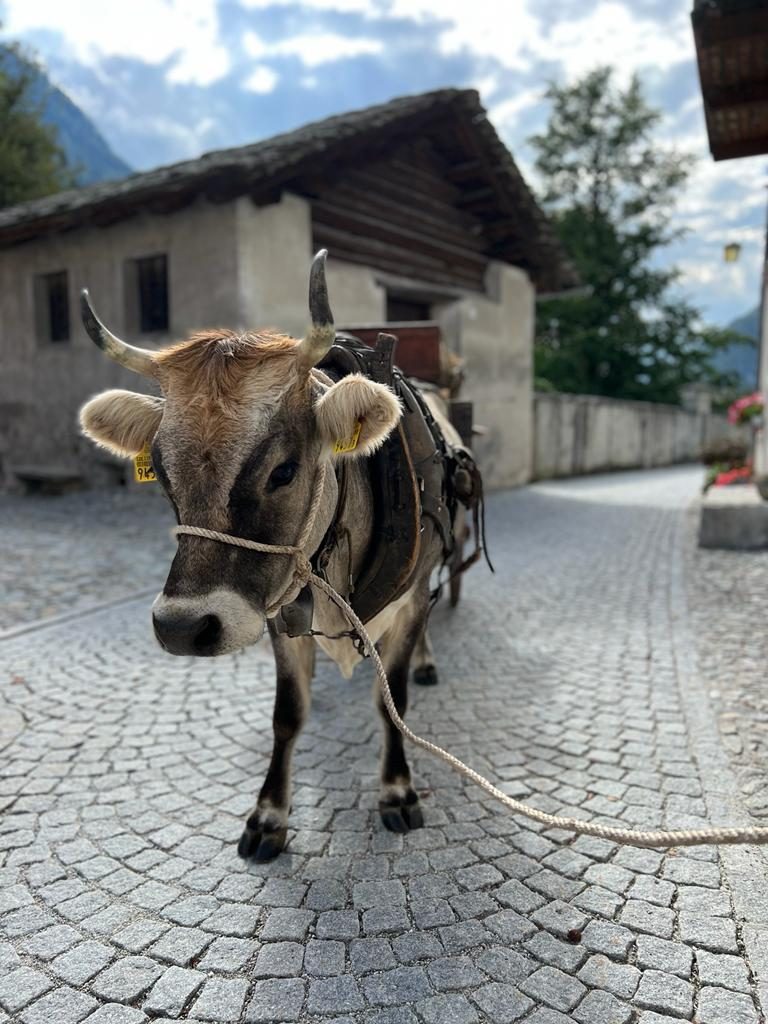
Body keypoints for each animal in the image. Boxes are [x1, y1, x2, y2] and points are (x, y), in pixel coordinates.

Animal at [78, 251, 471, 860]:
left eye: (283, 471)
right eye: (161, 473)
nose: (182, 628)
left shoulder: (405, 605)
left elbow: (393, 701)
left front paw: (397, 790)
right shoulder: (276, 613)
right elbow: (288, 715)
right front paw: (268, 816)